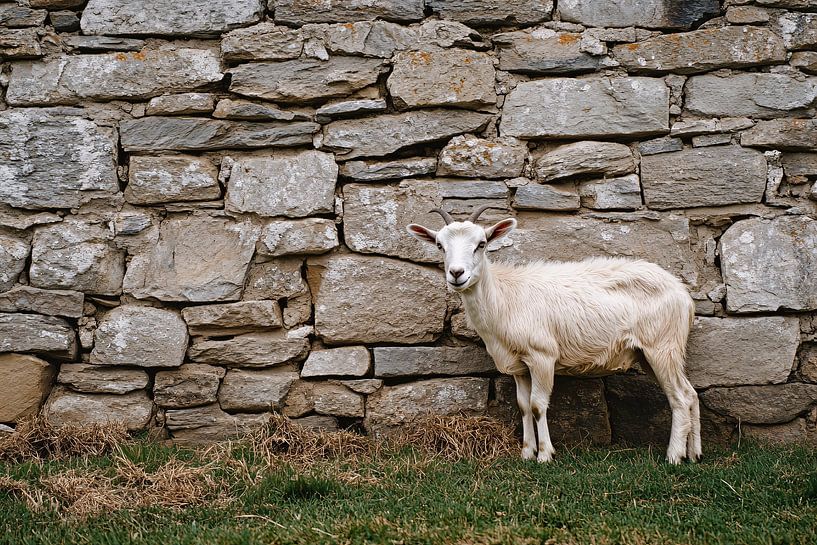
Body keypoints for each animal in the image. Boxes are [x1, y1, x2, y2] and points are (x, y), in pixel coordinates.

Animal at [407, 205, 701, 464]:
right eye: (439, 246)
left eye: (481, 243)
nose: (456, 274)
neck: (503, 297)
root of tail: (683, 294)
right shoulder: (518, 364)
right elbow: (523, 406)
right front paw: (527, 452)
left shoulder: (542, 355)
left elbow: (538, 405)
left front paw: (545, 455)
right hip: (652, 352)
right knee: (691, 394)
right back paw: (694, 454)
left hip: (662, 346)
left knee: (679, 398)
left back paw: (674, 456)